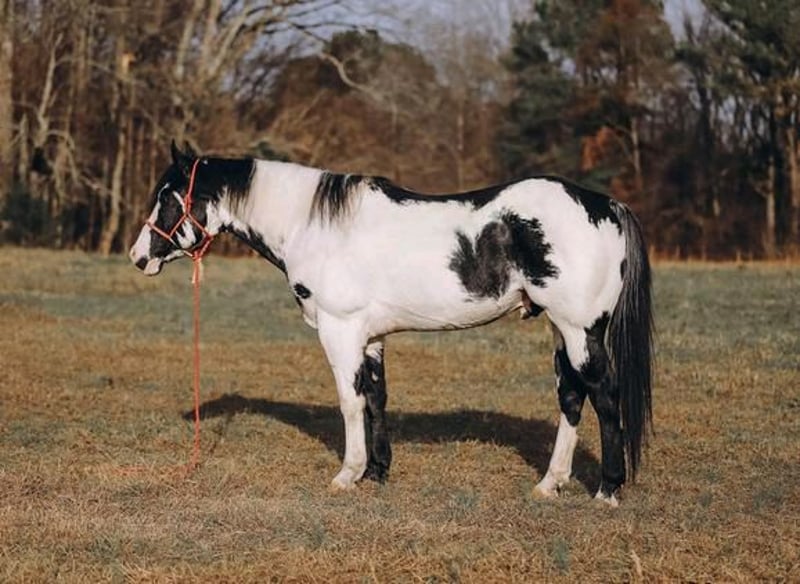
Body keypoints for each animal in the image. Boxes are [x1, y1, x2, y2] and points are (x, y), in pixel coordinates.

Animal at [129, 142, 653, 506]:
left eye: (168, 197)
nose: (138, 257)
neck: (314, 226)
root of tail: (607, 206)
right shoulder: (372, 337)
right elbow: (376, 398)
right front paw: (379, 472)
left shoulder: (339, 330)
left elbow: (349, 401)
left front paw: (348, 474)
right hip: (561, 330)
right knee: (571, 397)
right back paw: (550, 484)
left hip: (581, 329)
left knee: (604, 397)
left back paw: (607, 490)